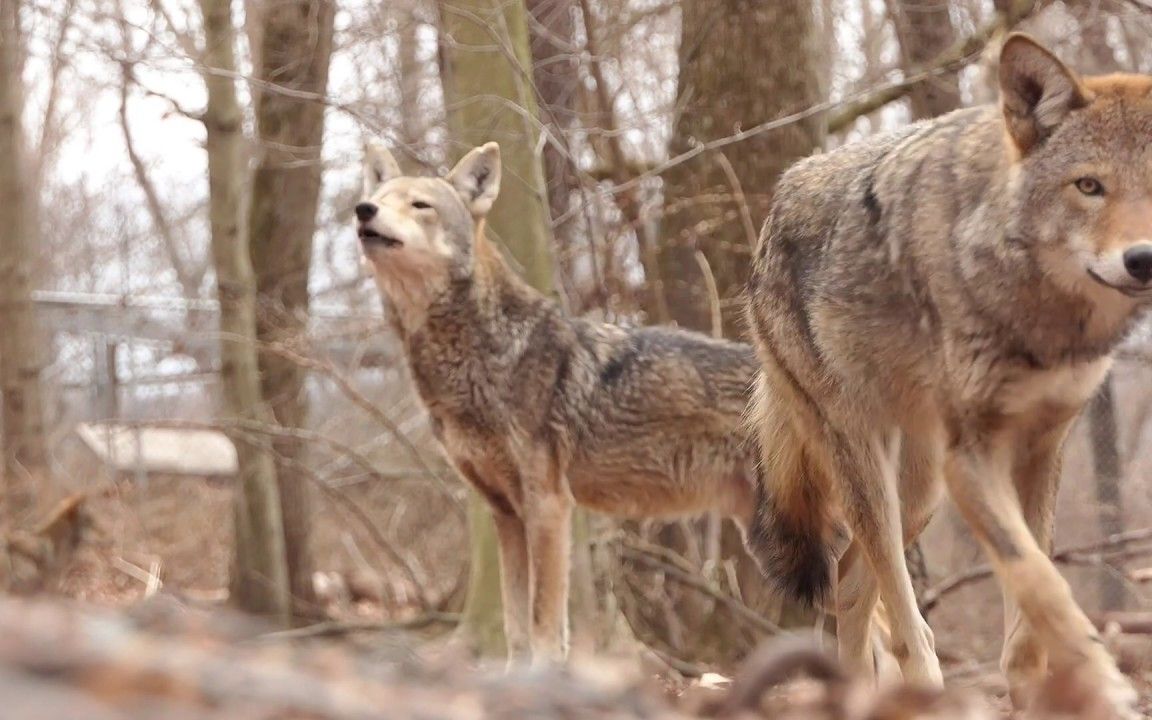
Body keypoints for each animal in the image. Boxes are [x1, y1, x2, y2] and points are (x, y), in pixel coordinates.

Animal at [352, 144, 764, 663]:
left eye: (419, 205)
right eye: (380, 196)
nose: (363, 210)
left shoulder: (547, 505)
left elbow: (544, 622)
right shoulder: (506, 514)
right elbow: (514, 625)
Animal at [741, 33, 1147, 714]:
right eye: (1089, 186)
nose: (1142, 260)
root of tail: (778, 198)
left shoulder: (1042, 446)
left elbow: (1031, 604)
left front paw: (1039, 691)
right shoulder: (974, 456)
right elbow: (1042, 582)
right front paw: (1104, 685)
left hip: (922, 489)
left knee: (851, 583)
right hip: (873, 470)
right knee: (899, 615)